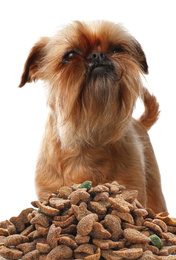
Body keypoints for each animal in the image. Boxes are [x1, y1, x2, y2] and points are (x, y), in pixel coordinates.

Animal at [18, 19, 166, 211]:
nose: (98, 55)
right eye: (70, 55)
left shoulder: (132, 187)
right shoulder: (48, 191)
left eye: (118, 49)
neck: (88, 137)